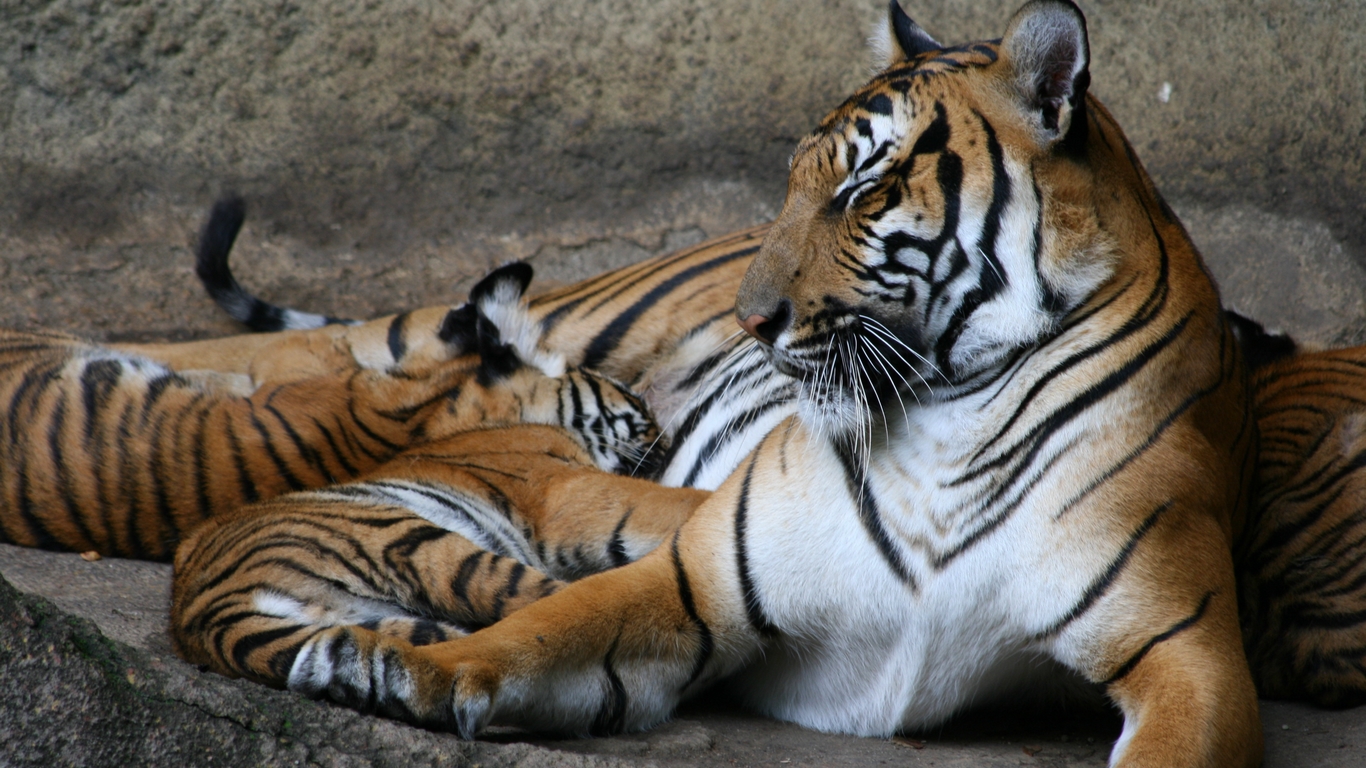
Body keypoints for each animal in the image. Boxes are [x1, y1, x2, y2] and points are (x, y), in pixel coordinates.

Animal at [168, 2, 1267, 759]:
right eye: (793, 181)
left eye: (865, 189)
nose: (750, 320)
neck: (955, 409)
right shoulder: (705, 581)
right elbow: (538, 631)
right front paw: (407, 669)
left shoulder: (1190, 653)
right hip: (570, 317)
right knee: (301, 353)